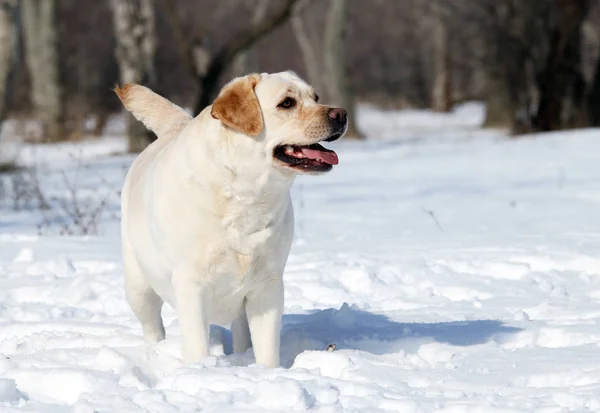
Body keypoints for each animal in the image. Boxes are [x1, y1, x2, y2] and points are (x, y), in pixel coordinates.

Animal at [115, 71, 346, 366]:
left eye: (315, 98)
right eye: (287, 103)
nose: (341, 114)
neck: (246, 197)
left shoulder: (268, 286)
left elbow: (267, 349)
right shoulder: (191, 285)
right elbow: (196, 345)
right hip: (138, 286)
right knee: (152, 324)